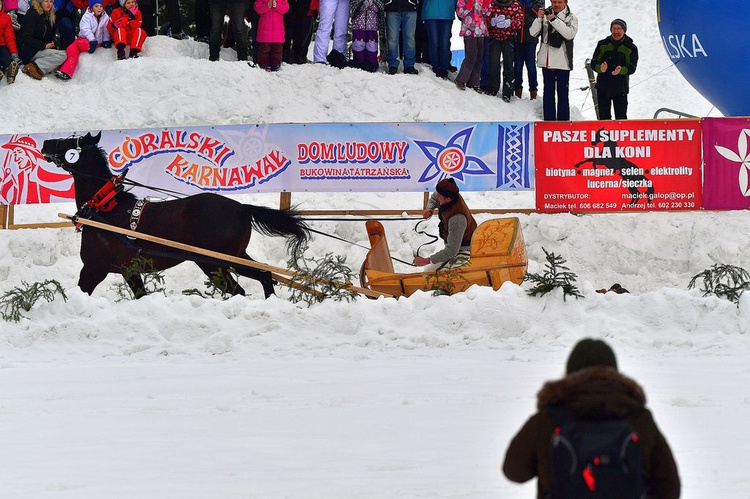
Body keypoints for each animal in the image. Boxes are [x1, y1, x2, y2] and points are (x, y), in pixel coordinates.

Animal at [41, 131, 312, 298]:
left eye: (69, 142)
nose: (45, 143)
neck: (105, 207)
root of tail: (241, 207)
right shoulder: (128, 271)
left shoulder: (94, 268)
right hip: (234, 257)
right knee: (264, 275)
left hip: (214, 261)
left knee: (239, 289)